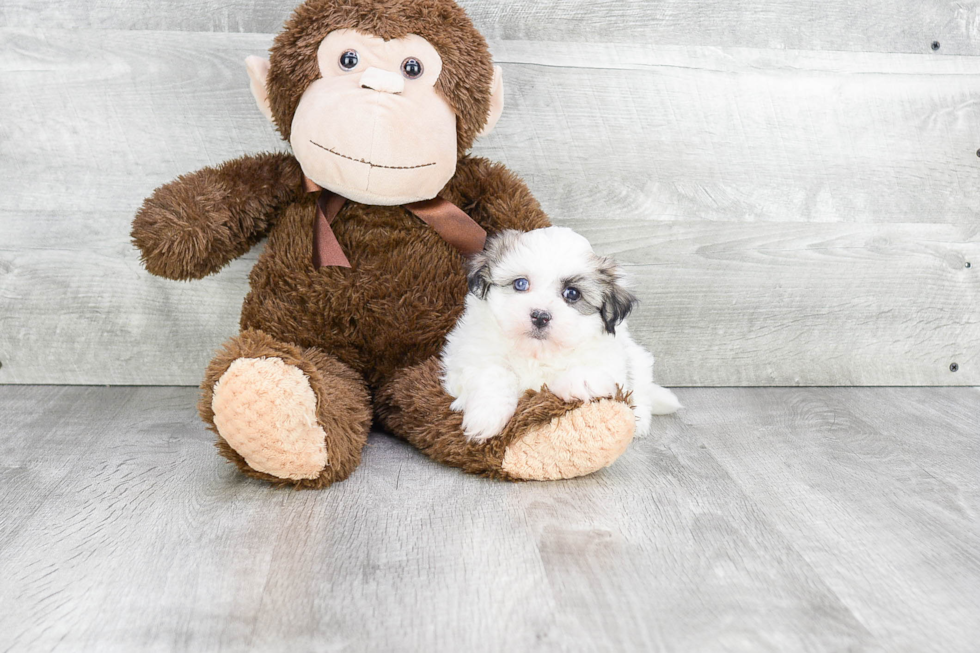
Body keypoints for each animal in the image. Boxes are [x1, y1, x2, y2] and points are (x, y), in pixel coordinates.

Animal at [444, 227, 680, 440]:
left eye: (572, 294)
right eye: (520, 283)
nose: (540, 316)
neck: (535, 351)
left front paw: (583, 383)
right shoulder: (465, 357)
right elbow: (494, 373)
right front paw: (486, 416)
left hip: (637, 361)